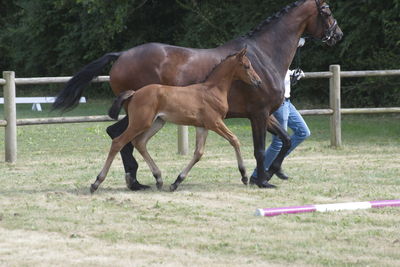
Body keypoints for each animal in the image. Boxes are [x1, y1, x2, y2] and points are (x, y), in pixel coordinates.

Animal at [89, 48, 260, 194]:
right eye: (246, 66)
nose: (258, 82)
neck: (212, 90)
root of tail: (134, 93)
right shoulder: (215, 122)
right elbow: (234, 140)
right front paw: (244, 176)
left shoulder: (202, 126)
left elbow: (198, 153)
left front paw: (176, 182)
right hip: (140, 122)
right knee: (118, 142)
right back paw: (96, 183)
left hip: (156, 123)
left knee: (140, 142)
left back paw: (158, 178)